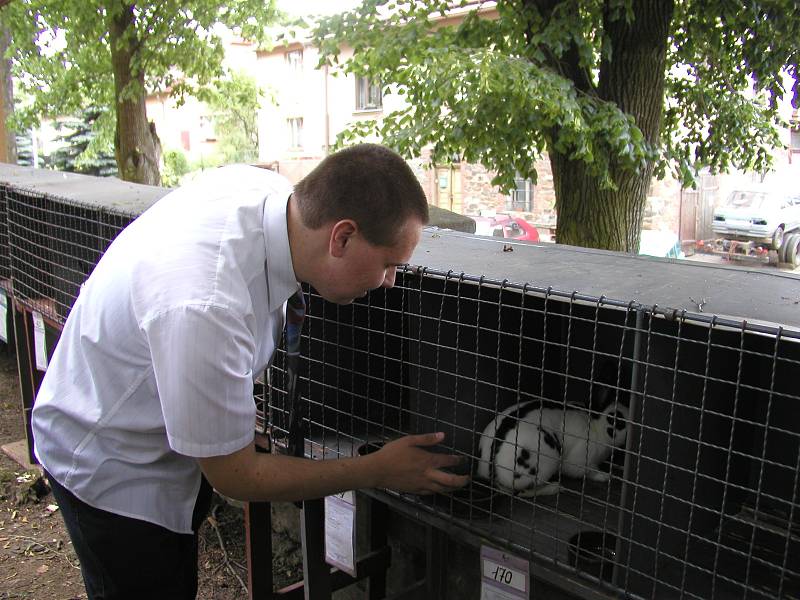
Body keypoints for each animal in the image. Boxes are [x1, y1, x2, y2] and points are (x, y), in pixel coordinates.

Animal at [478, 398, 628, 496]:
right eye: (618, 421)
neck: (597, 426)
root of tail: (491, 473)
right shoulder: (581, 458)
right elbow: (586, 471)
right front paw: (604, 476)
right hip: (545, 461)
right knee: (524, 492)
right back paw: (556, 487)